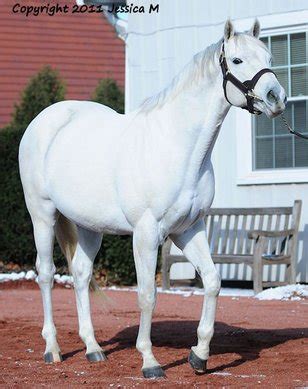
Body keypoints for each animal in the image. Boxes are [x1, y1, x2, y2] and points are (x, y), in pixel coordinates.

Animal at [19, 19, 286, 378]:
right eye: (238, 60)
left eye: (269, 57)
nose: (276, 98)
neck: (176, 145)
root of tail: (45, 120)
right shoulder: (146, 234)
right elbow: (147, 295)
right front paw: (149, 361)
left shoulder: (189, 230)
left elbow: (213, 281)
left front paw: (199, 355)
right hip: (42, 216)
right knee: (46, 273)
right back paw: (53, 349)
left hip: (89, 226)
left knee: (81, 274)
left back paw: (93, 348)